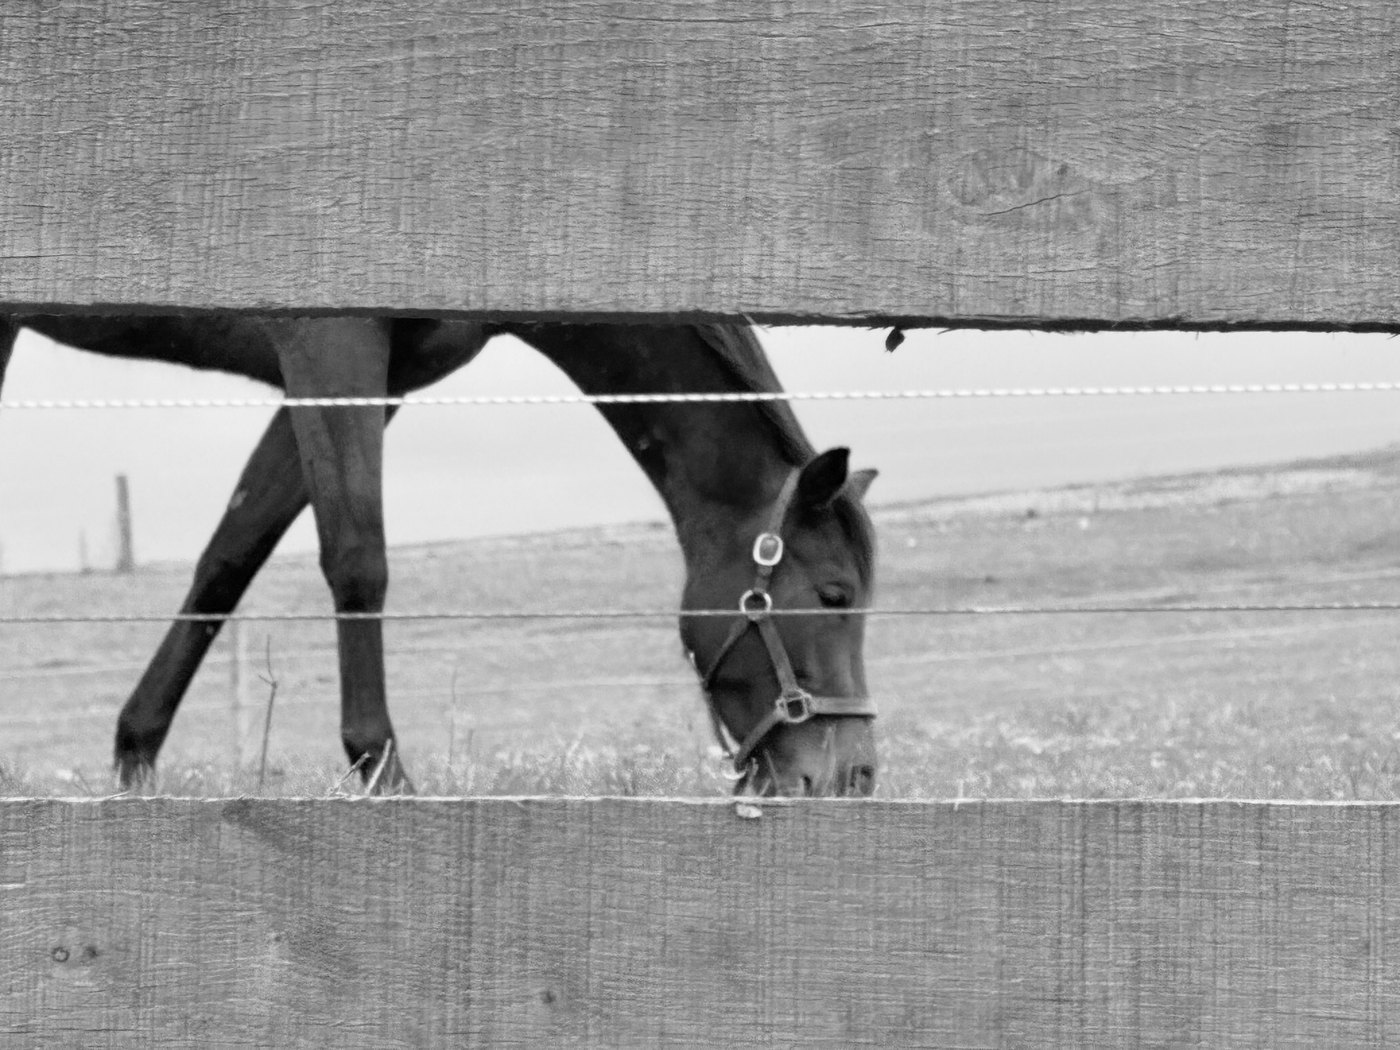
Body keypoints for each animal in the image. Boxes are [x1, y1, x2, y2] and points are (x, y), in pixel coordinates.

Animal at [0, 317, 879, 796]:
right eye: (834, 596)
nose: (856, 777)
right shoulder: (331, 343)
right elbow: (358, 557)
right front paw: (383, 771)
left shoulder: (371, 380)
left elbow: (230, 557)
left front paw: (135, 759)